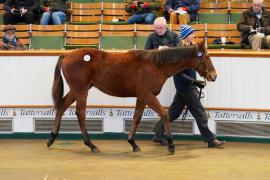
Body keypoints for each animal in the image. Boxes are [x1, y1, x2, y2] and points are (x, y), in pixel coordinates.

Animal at [47, 40, 217, 155]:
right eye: (207, 57)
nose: (213, 76)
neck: (155, 65)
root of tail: (67, 55)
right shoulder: (148, 95)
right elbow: (165, 114)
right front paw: (171, 145)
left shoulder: (141, 97)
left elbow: (137, 117)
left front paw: (133, 143)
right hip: (81, 90)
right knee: (80, 113)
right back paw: (91, 145)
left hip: (77, 90)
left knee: (61, 106)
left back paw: (52, 138)